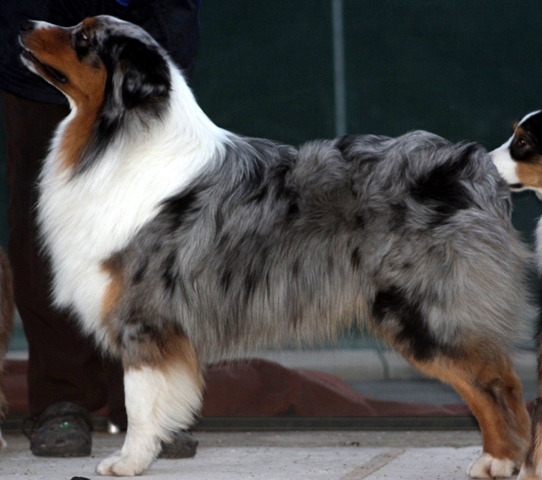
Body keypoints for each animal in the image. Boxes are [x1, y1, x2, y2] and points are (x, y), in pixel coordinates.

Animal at [19, 15, 535, 477]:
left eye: (84, 38)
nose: (24, 25)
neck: (118, 141)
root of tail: (475, 169)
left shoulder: (144, 315)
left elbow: (139, 401)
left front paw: (128, 462)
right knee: (503, 380)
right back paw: (510, 460)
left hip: (425, 314)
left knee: (493, 384)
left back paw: (499, 460)